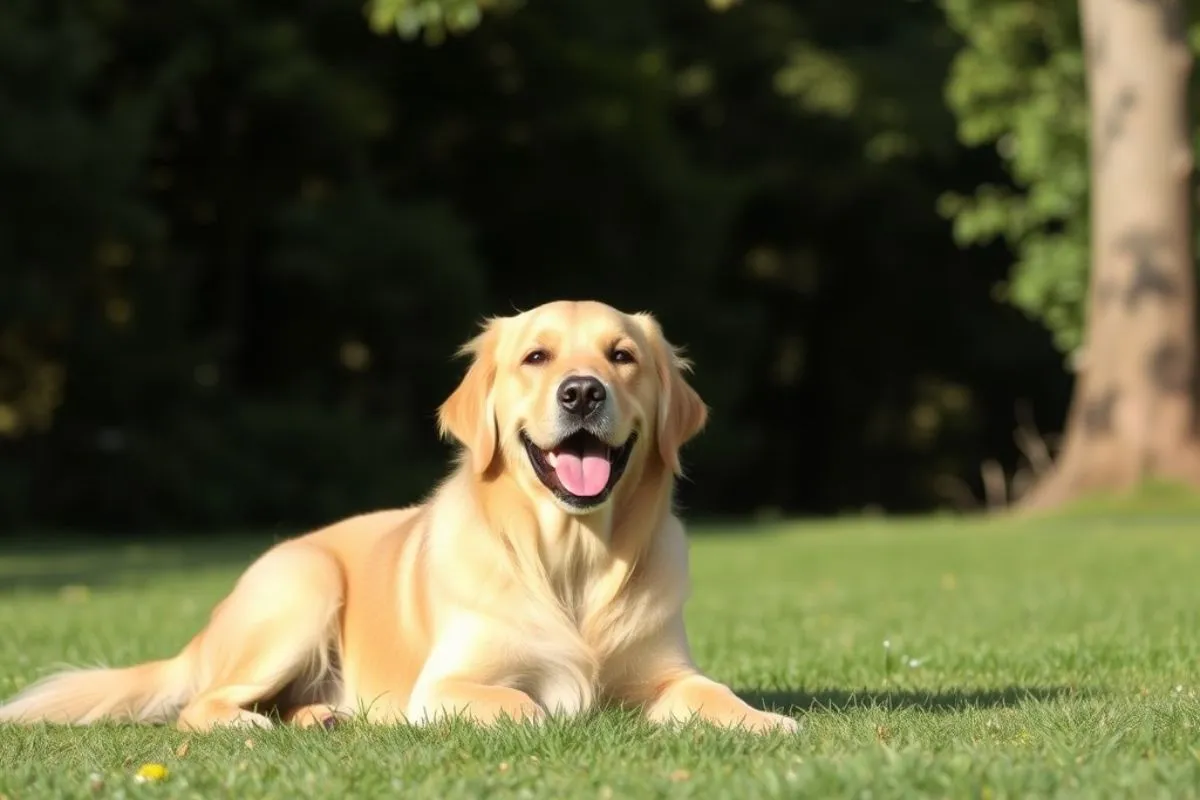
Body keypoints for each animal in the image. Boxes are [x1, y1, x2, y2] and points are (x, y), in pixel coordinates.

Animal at [0, 303, 796, 734]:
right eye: (537, 356)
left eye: (622, 355)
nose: (581, 392)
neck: (571, 561)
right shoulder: (446, 685)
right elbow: (528, 704)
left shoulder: (666, 672)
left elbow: (709, 692)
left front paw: (766, 722)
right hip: (303, 586)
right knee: (200, 703)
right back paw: (253, 724)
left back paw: (321, 716)